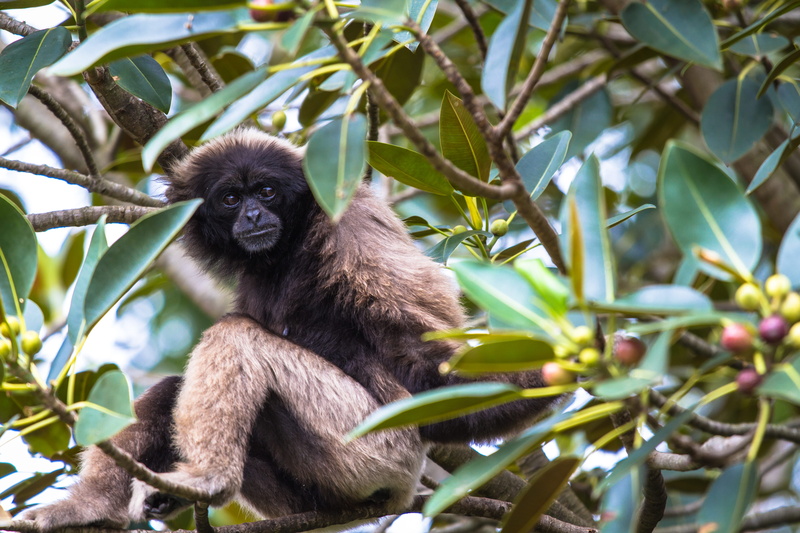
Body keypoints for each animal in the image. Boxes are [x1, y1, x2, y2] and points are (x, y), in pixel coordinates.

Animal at [21, 129, 558, 531]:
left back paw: (210, 479)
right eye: (231, 199)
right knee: (177, 385)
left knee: (235, 335)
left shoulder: (354, 229)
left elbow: (428, 363)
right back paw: (93, 508)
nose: (254, 215)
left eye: (266, 192)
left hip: (373, 448)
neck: (296, 241)